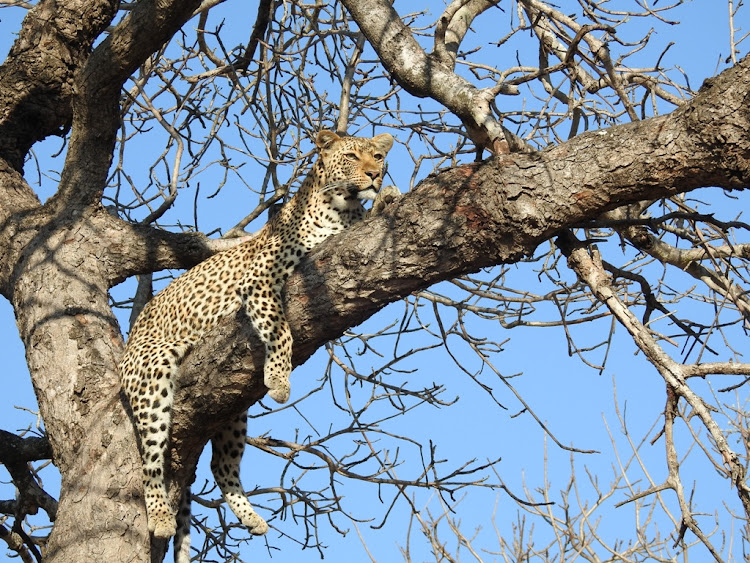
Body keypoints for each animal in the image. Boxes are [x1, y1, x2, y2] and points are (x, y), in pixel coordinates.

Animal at [118, 130, 400, 556]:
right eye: (352, 156)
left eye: (379, 156)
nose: (374, 175)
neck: (342, 209)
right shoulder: (262, 282)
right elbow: (281, 330)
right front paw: (280, 381)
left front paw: (389, 196)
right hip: (152, 375)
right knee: (151, 460)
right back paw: (162, 518)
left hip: (231, 410)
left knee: (221, 465)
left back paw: (252, 518)